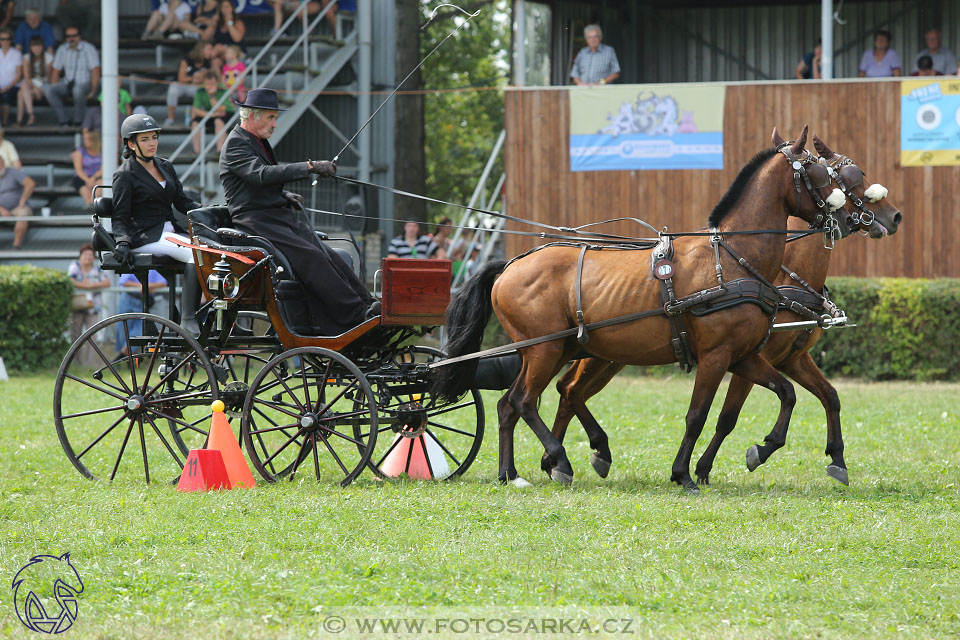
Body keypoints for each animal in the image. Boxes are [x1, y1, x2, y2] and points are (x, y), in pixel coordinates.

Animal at [436, 127, 848, 492]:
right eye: (816, 171)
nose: (843, 215)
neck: (732, 259)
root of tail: (509, 265)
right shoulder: (716, 355)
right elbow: (697, 415)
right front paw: (684, 474)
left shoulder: (742, 355)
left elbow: (785, 394)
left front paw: (762, 449)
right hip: (545, 349)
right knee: (525, 401)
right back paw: (560, 460)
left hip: (555, 351)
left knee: (512, 404)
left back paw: (511, 473)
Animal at [544, 135, 904, 484]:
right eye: (846, 177)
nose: (894, 216)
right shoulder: (733, 356)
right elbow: (724, 416)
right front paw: (703, 468)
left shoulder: (788, 358)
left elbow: (825, 395)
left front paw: (836, 459)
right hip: (597, 354)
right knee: (570, 389)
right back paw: (564, 456)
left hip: (609, 354)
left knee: (569, 391)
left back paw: (561, 458)